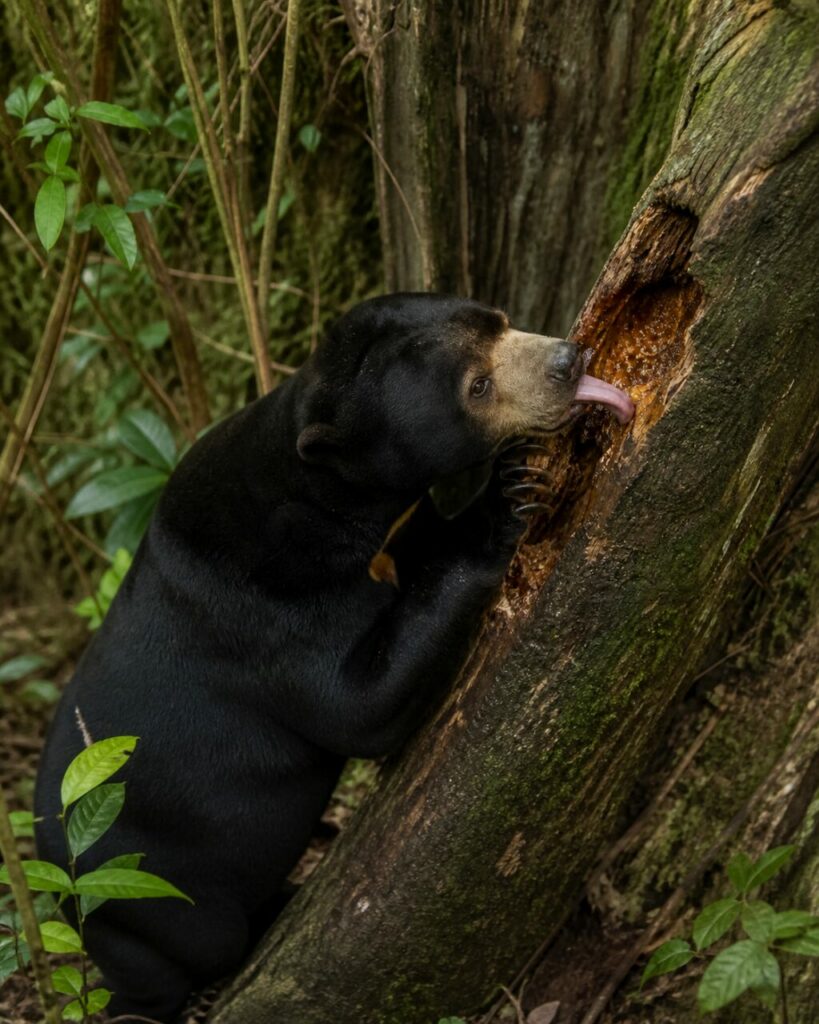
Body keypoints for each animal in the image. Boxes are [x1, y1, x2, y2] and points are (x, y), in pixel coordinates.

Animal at [34, 293, 633, 1021]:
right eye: (477, 387)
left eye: (499, 320)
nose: (570, 359)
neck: (322, 489)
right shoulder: (270, 604)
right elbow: (355, 708)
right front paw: (504, 499)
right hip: (141, 898)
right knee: (183, 955)